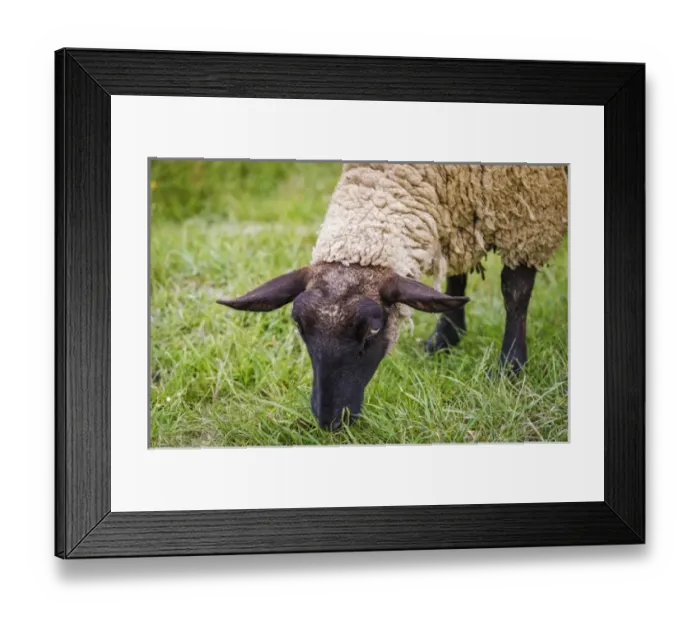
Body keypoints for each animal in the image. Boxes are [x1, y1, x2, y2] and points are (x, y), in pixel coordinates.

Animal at [218, 163, 568, 431]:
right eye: (299, 327)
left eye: (373, 330)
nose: (330, 421)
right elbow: (455, 275)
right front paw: (445, 337)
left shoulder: (529, 216)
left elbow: (515, 290)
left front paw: (510, 367)